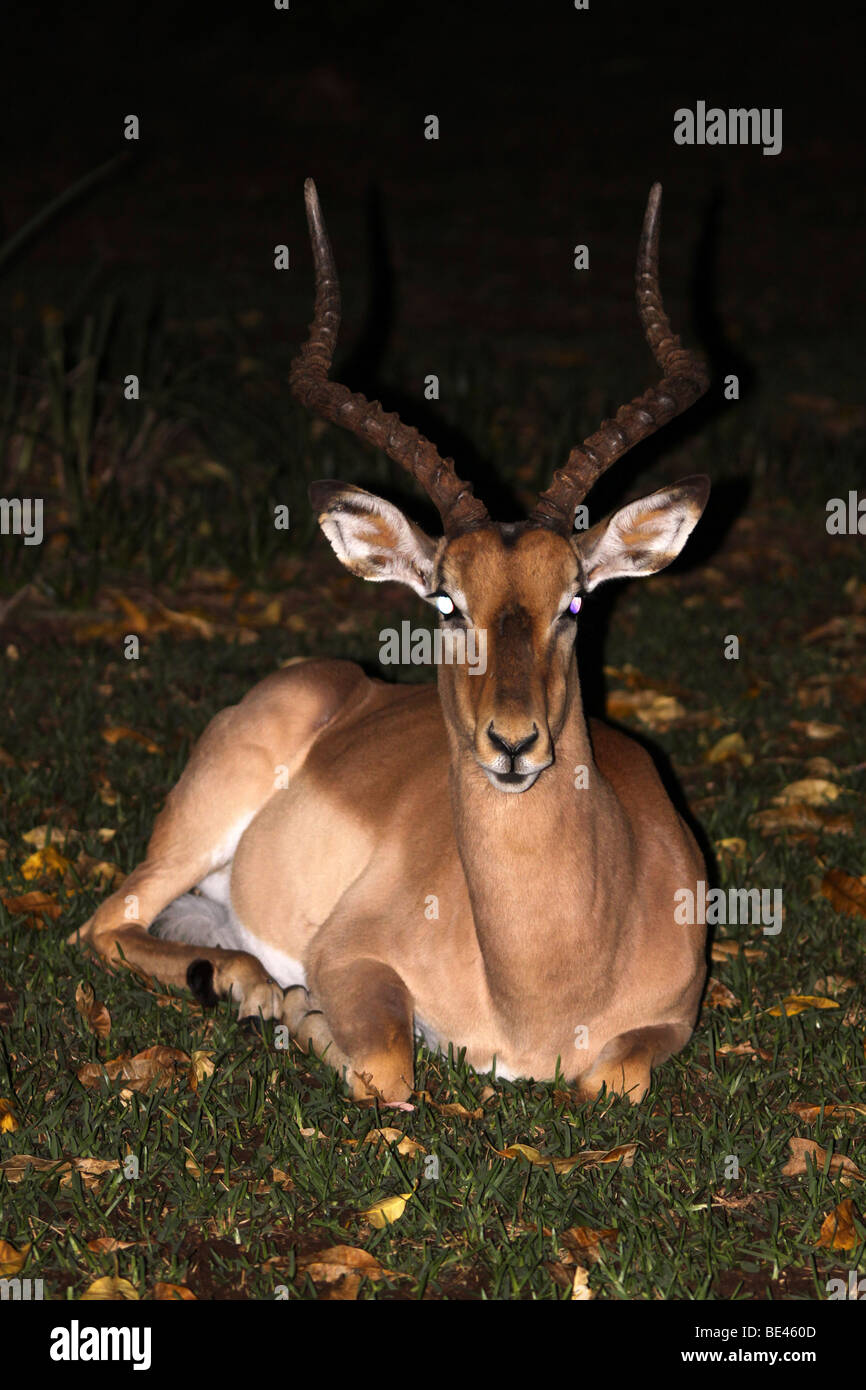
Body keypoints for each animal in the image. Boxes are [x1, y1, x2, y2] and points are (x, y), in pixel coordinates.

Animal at [70, 180, 711, 1104]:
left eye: (575, 601)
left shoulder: (675, 1017)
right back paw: (253, 988)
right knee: (103, 926)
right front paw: (306, 1015)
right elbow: (384, 1066)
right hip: (193, 829)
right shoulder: (350, 954)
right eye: (445, 599)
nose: (512, 744)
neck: (545, 984)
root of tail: (344, 683)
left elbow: (608, 1082)